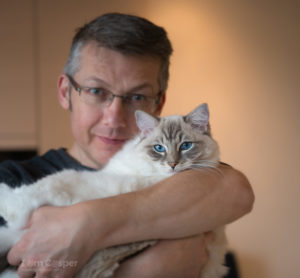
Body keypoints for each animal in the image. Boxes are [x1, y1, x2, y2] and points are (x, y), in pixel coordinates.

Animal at [0, 103, 226, 276]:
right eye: (158, 148)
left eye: (186, 146)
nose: (172, 165)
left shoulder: (100, 185)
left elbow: (48, 185)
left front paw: (9, 204)